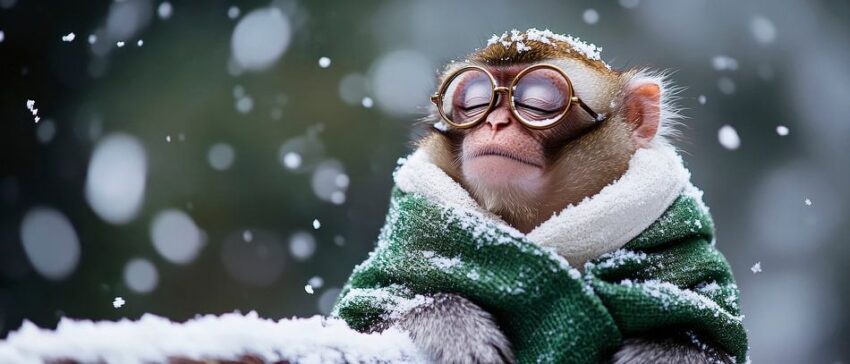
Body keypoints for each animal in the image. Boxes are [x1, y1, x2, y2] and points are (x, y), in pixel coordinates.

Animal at [332, 29, 744, 364]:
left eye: (536, 103)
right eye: (476, 101)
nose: (495, 122)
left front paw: (668, 349)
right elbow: (359, 320)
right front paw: (449, 321)